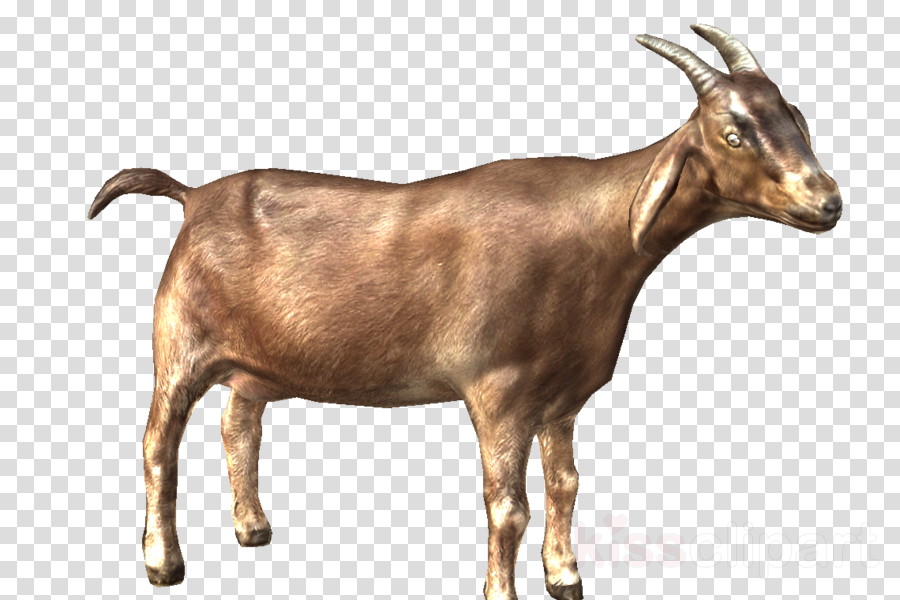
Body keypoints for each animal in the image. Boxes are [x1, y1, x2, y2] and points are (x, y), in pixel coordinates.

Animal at [89, 24, 841, 599]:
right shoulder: (499, 389)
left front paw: (565, 580)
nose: (827, 201)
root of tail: (193, 197)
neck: (597, 235)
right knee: (159, 443)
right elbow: (508, 507)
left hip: (256, 362)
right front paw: (503, 592)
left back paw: (253, 531)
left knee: (238, 424)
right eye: (732, 133)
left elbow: (564, 485)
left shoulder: (560, 395)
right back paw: (164, 565)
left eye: (795, 117)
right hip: (180, 341)